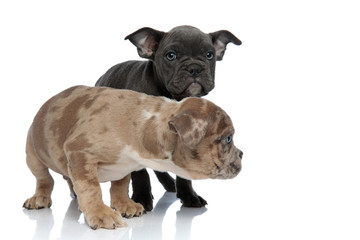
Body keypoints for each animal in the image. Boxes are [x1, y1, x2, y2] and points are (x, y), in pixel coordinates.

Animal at [21, 86, 242, 229]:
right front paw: (100, 213)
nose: (242, 153)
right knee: (44, 179)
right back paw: (39, 198)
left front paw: (124, 204)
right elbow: (91, 189)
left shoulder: (124, 167)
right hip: (33, 154)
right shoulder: (80, 153)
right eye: (228, 138)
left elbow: (120, 185)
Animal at [96, 25, 242, 211]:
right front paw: (141, 198)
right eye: (171, 55)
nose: (194, 68)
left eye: (209, 55)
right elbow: (140, 173)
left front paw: (189, 196)